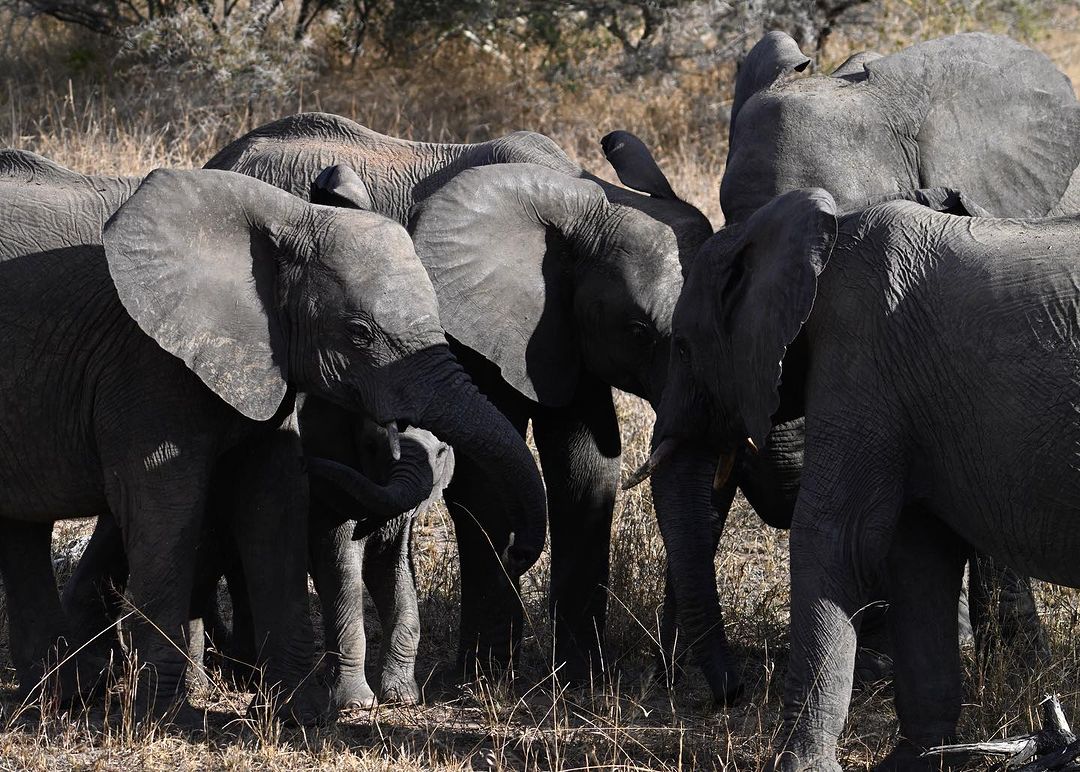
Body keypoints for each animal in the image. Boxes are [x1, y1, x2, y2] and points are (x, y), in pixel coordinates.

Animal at [0, 152, 544, 725]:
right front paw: (168, 719)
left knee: (22, 528)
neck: (288, 219)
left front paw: (301, 713)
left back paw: (57, 698)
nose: (515, 549)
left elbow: (274, 500)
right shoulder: (146, 364)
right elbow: (164, 507)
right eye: (358, 333)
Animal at [206, 114, 717, 682]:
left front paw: (581, 676)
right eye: (640, 331)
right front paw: (486, 675)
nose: (519, 552)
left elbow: (587, 468)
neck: (587, 196)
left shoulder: (565, 331)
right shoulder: (469, 330)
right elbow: (485, 478)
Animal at [648, 190, 1080, 768]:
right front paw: (918, 761)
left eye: (681, 346)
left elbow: (837, 541)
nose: (730, 695)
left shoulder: (862, 359)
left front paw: (802, 766)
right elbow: (919, 556)